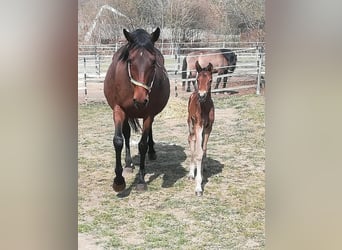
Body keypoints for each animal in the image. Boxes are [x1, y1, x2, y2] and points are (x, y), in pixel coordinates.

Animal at [103, 27, 170, 191]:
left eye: (153, 62)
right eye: (130, 61)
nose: (140, 99)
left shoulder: (149, 114)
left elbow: (142, 144)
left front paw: (141, 180)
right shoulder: (119, 110)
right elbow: (118, 140)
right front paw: (118, 180)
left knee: (149, 132)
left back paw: (152, 152)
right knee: (127, 134)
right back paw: (128, 164)